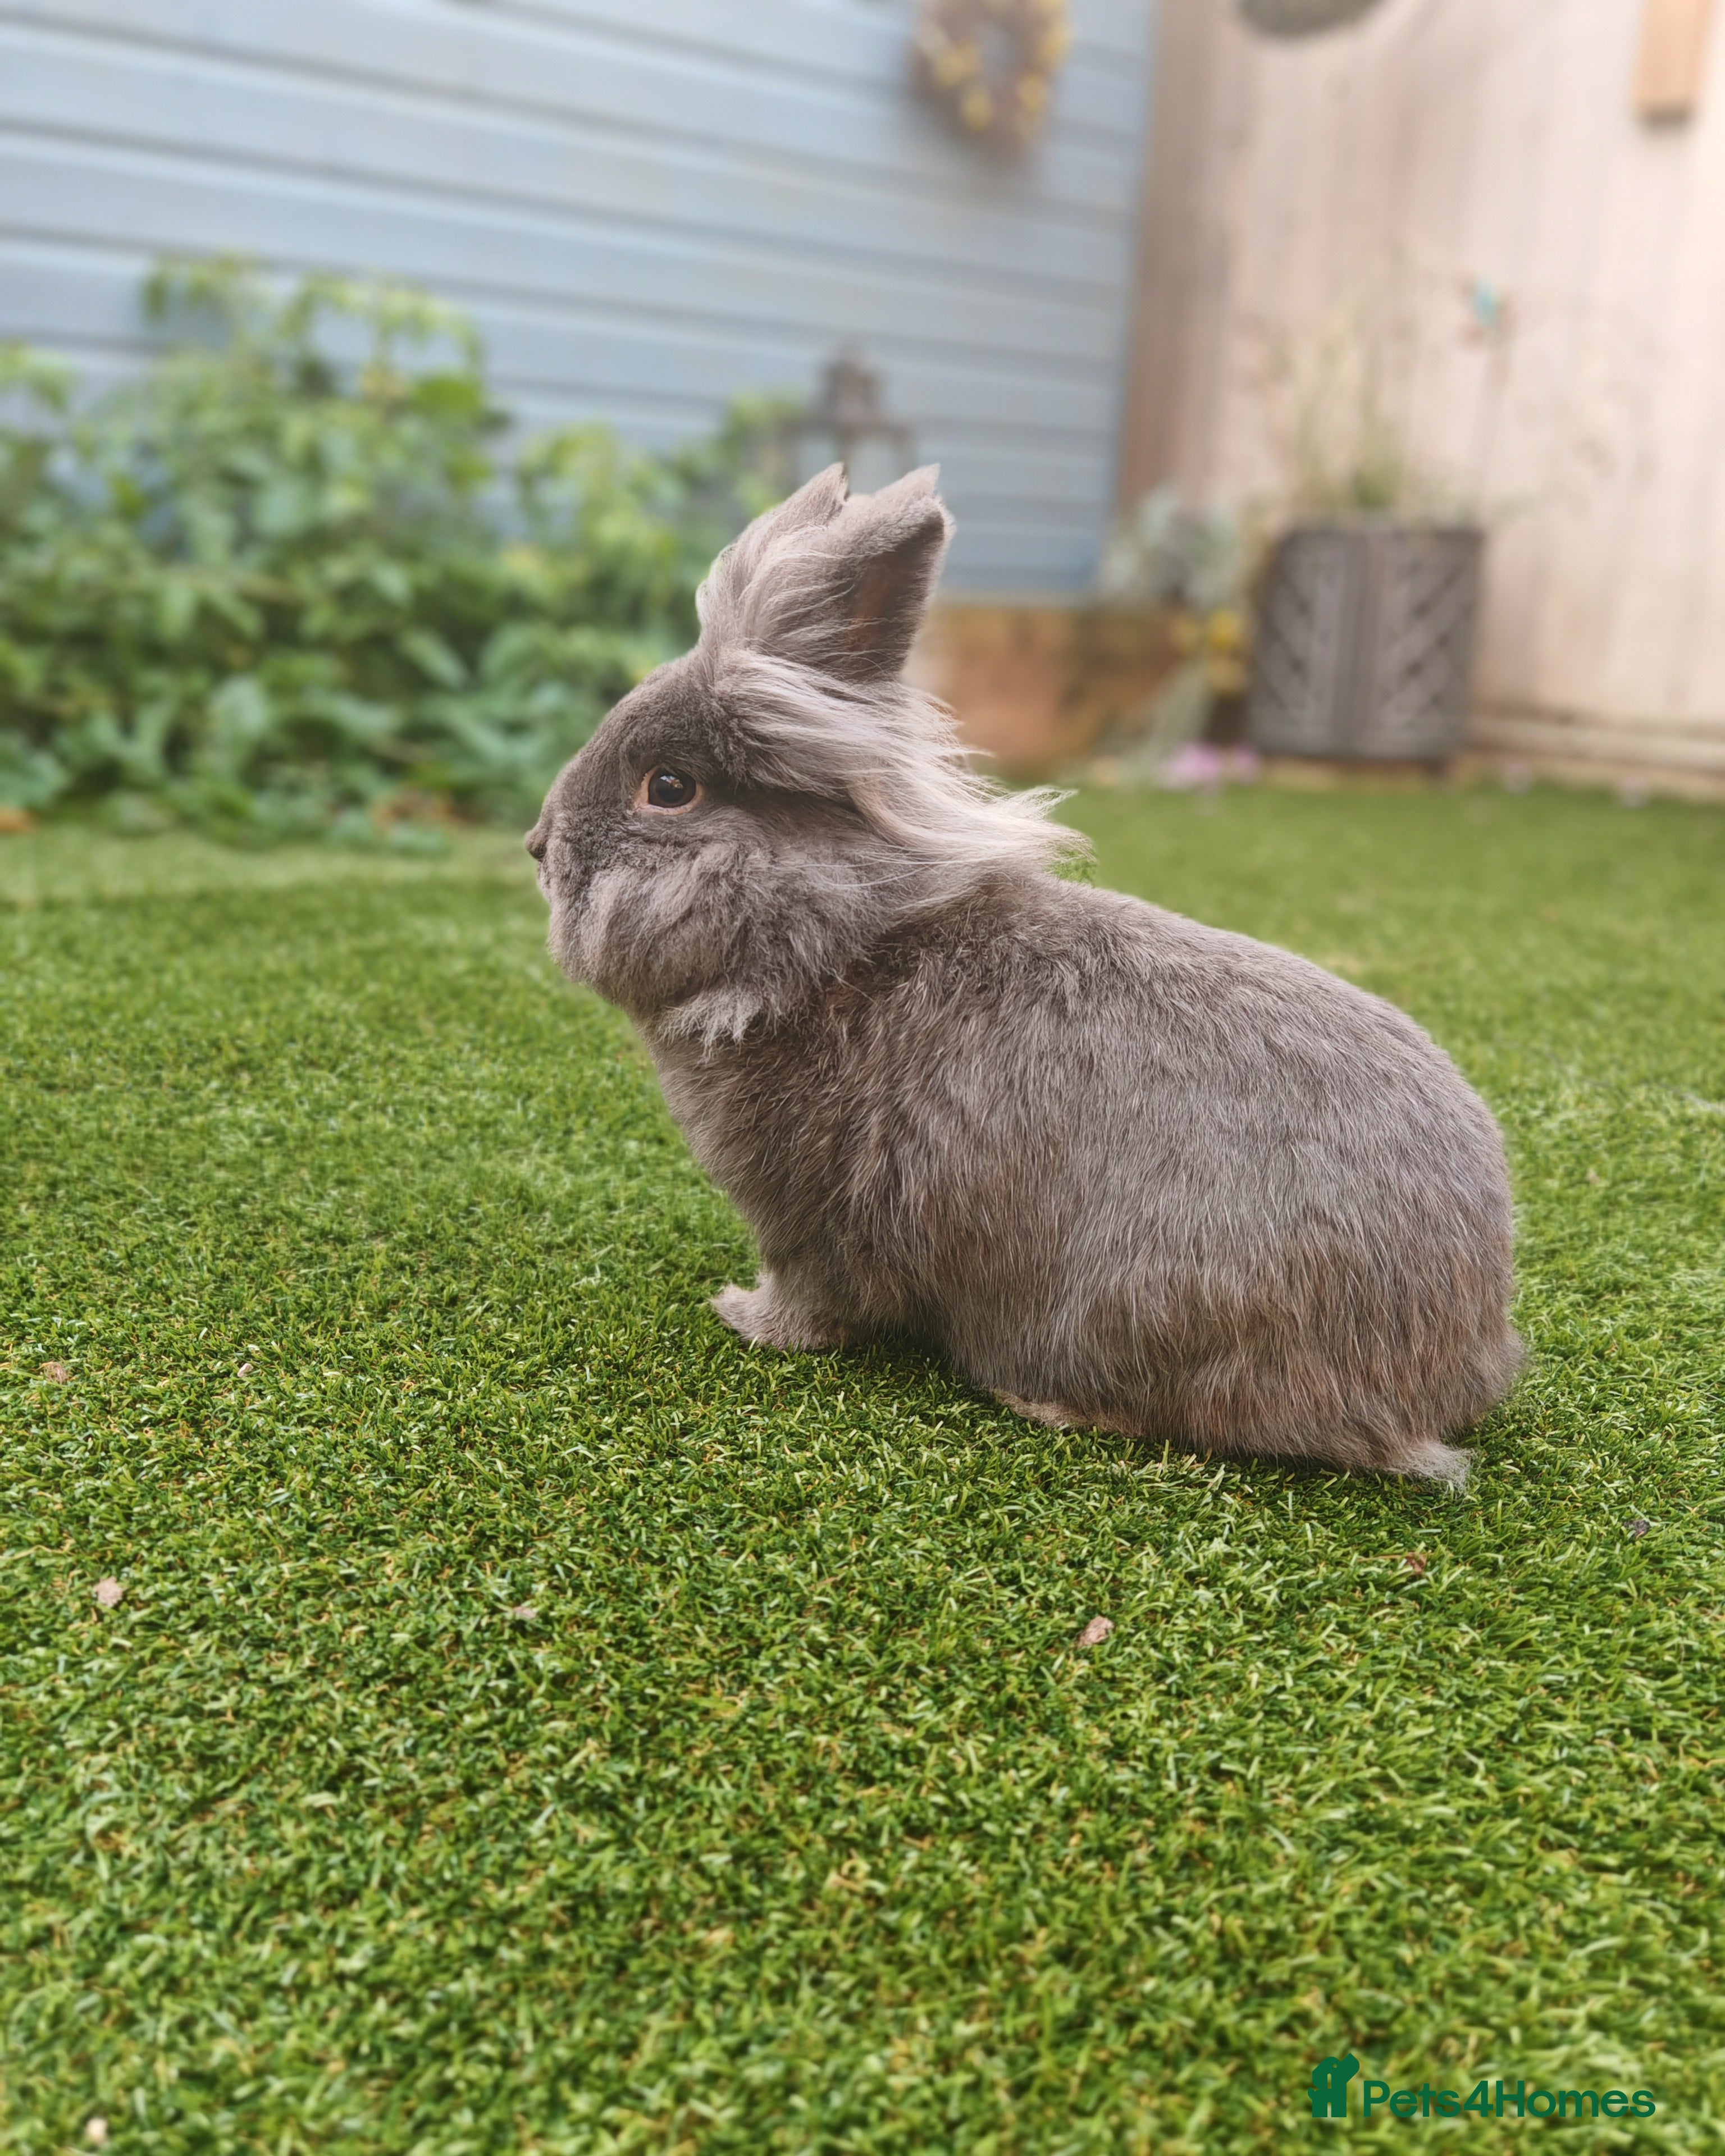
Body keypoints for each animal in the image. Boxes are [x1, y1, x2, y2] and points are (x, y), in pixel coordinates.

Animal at [527, 465, 1522, 1481]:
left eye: (670, 788)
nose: (535, 845)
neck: (832, 946)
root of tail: (1442, 1371)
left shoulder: (807, 1222)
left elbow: (808, 1300)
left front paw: (742, 1318)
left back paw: (1041, 1403)